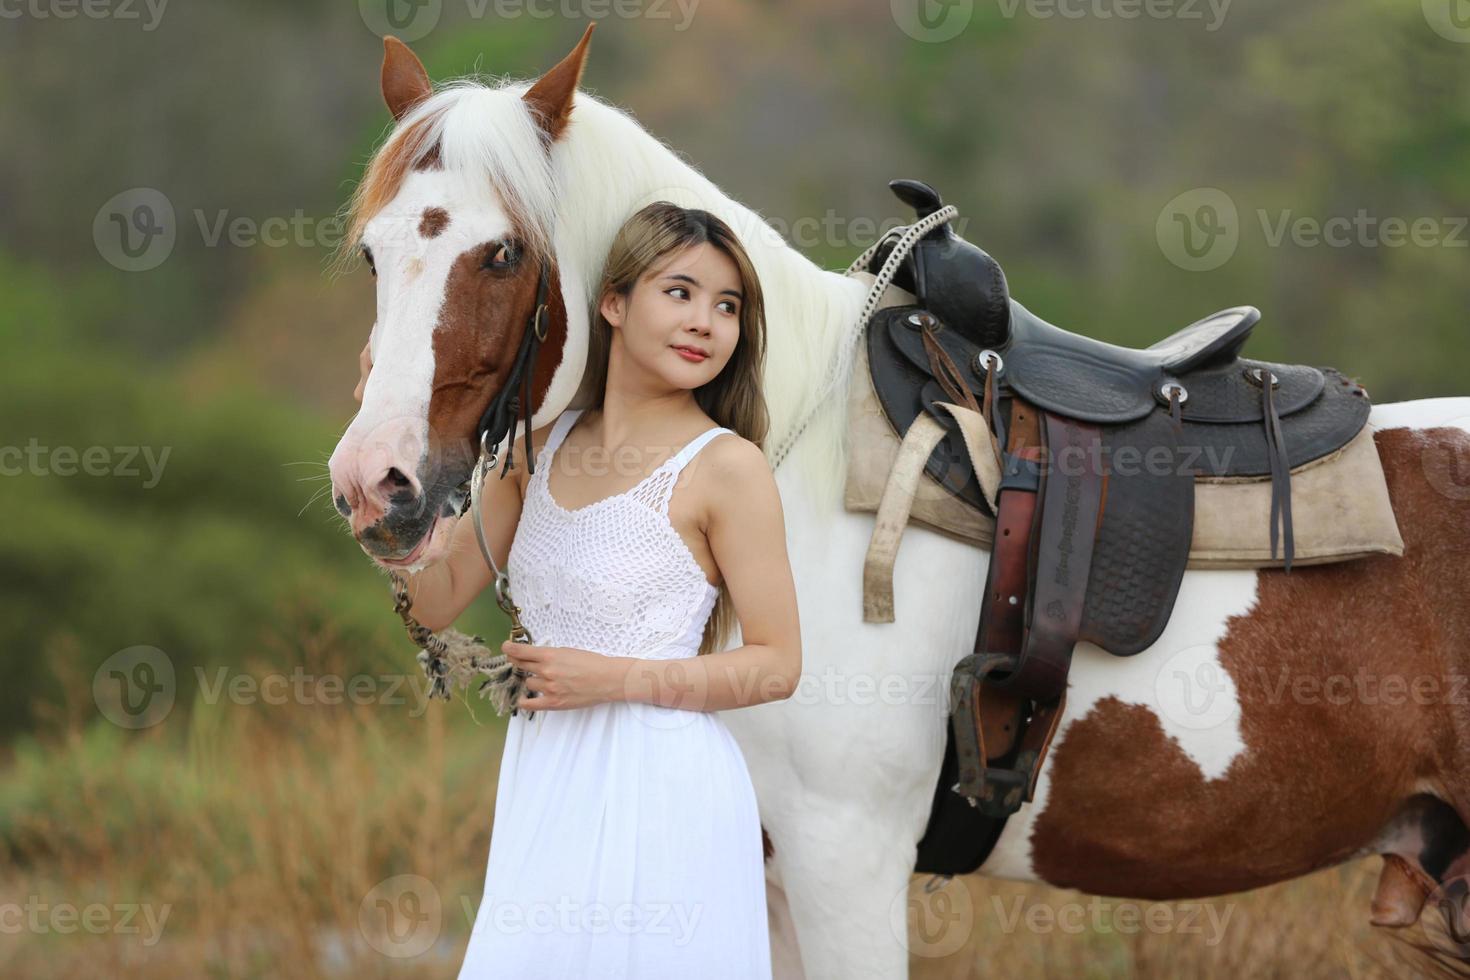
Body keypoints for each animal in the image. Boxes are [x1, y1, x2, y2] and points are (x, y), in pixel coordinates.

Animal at [327, 26, 1470, 975]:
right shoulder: (772, 869)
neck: (792, 468)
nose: (376, 482)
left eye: (502, 253)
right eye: (374, 253)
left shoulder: (847, 857)